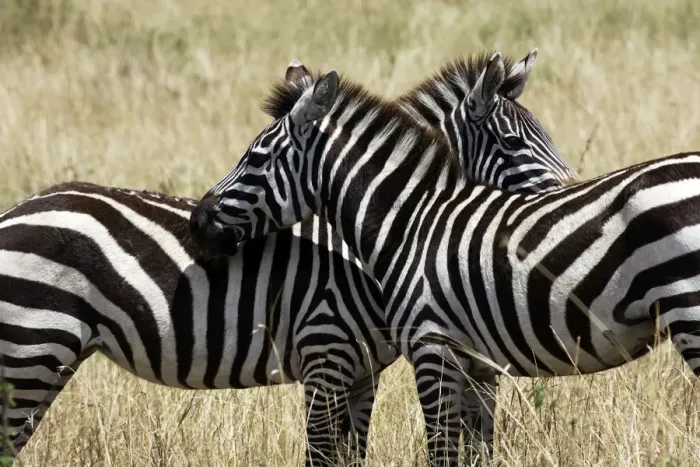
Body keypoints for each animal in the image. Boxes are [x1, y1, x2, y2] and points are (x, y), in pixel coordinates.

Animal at [190, 53, 700, 466]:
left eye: (256, 159)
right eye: (515, 143)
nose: (197, 221)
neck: (413, 221)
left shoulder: (431, 348)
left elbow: (441, 451)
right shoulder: (475, 363)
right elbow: (475, 451)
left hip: (690, 314)